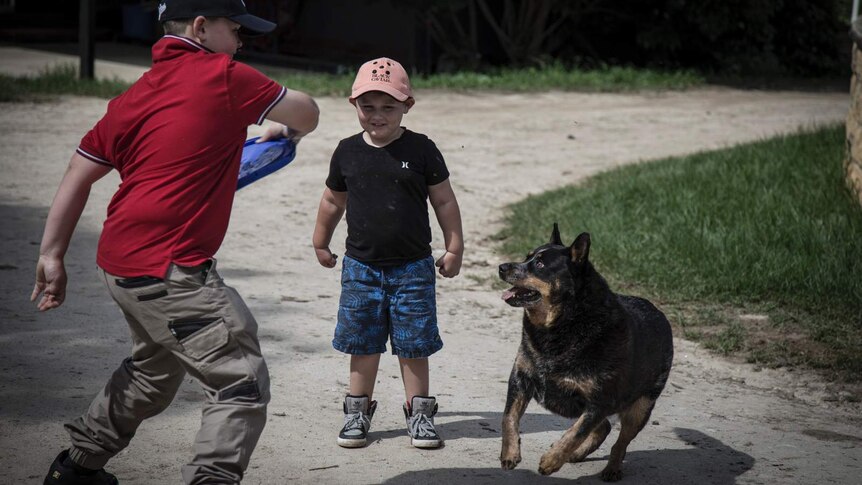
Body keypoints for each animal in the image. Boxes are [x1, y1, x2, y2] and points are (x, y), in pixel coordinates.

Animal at [500, 224, 676, 480]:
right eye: (527, 257)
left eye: (540, 264)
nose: (502, 267)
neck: (559, 326)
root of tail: (661, 314)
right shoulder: (520, 379)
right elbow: (509, 417)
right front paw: (510, 453)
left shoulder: (599, 401)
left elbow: (576, 433)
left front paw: (552, 460)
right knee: (604, 427)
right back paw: (579, 454)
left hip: (641, 406)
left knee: (620, 441)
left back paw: (612, 468)